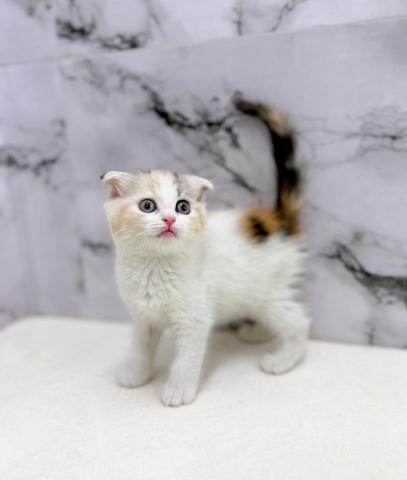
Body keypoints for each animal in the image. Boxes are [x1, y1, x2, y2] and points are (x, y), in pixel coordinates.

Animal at [102, 98, 310, 407]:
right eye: (147, 206)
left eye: (183, 207)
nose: (169, 220)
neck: (155, 265)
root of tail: (275, 219)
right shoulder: (142, 316)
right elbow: (140, 347)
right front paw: (135, 375)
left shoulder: (194, 319)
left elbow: (186, 360)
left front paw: (178, 392)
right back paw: (256, 333)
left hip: (268, 291)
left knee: (298, 321)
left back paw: (281, 361)